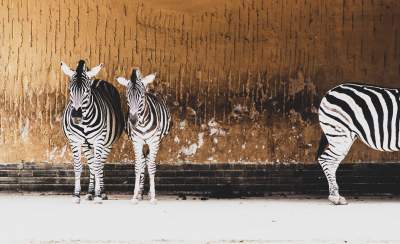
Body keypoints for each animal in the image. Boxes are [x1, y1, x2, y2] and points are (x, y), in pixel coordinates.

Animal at [60, 59, 123, 204]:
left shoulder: (99, 140)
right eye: (70, 90)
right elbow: (79, 166)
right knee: (92, 164)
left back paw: (102, 192)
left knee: (100, 165)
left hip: (107, 144)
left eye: (87, 91)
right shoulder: (76, 141)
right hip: (87, 145)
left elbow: (98, 166)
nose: (76, 117)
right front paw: (77, 195)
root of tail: (98, 80)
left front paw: (98, 195)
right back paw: (90, 193)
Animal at [116, 67, 171, 203]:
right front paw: (135, 195)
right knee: (143, 161)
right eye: (127, 96)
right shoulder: (137, 141)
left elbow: (151, 166)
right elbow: (138, 166)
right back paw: (141, 193)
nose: (133, 120)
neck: (142, 123)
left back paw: (149, 192)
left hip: (157, 141)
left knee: (148, 160)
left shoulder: (154, 141)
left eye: (141, 96)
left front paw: (153, 196)